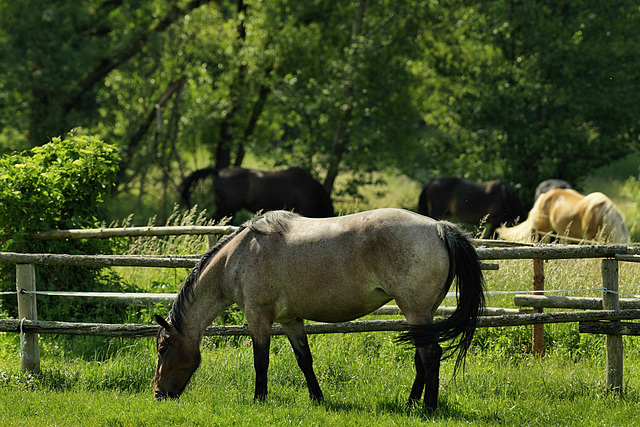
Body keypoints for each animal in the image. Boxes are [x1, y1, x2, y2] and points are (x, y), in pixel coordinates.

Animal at [154, 209, 484, 412]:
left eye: (162, 348)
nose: (158, 394)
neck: (237, 257)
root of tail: (439, 227)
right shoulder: (290, 320)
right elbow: (304, 360)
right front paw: (317, 398)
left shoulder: (258, 316)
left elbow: (260, 361)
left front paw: (259, 399)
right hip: (423, 316)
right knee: (421, 358)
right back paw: (411, 403)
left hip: (415, 311)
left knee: (430, 356)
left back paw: (427, 407)